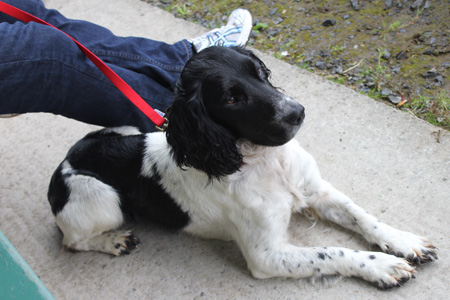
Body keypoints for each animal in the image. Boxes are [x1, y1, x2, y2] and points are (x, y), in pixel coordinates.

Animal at [48, 46, 436, 288]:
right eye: (232, 98)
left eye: (259, 72)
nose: (297, 112)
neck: (267, 161)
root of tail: (68, 158)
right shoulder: (268, 255)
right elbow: (333, 252)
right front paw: (381, 266)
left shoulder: (316, 190)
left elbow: (362, 216)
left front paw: (402, 241)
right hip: (101, 199)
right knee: (72, 240)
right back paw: (113, 241)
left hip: (126, 130)